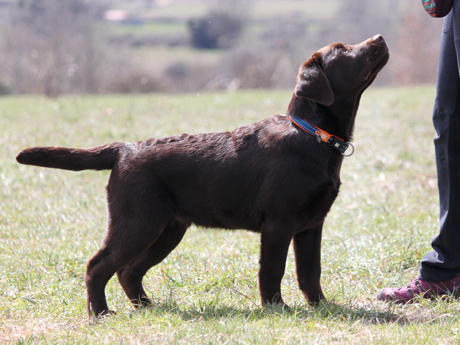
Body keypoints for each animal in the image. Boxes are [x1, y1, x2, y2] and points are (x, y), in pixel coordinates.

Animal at [16, 34, 388, 314]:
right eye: (342, 50)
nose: (380, 37)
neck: (312, 135)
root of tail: (123, 149)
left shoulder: (312, 224)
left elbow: (310, 270)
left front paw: (321, 307)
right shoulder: (279, 223)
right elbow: (273, 270)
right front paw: (276, 309)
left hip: (167, 229)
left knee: (128, 270)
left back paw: (147, 307)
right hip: (138, 221)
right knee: (99, 266)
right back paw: (101, 313)